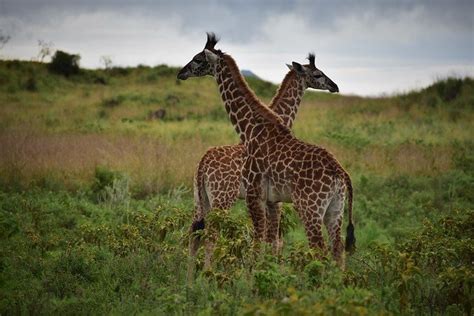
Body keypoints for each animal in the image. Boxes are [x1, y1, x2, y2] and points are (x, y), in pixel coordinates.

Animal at [178, 34, 356, 270]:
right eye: (317, 74)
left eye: (197, 59)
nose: (181, 73)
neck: (253, 129)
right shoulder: (266, 198)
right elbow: (267, 242)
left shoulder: (263, 198)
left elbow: (266, 242)